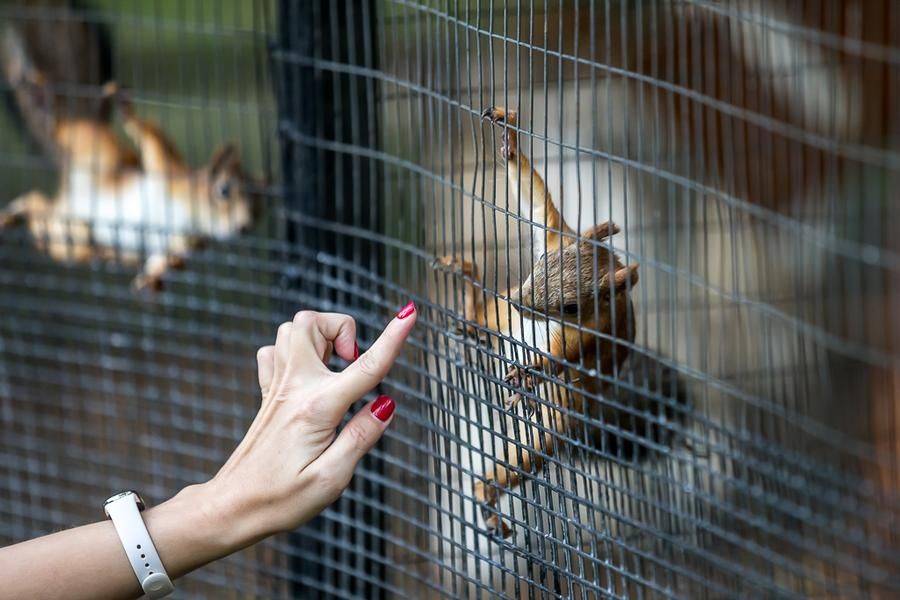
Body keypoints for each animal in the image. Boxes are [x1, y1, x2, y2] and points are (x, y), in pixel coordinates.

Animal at [0, 27, 260, 290]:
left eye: (260, 209)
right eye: (224, 190)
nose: (244, 226)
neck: (195, 218)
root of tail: (68, 196)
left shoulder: (182, 243)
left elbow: (166, 259)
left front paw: (152, 279)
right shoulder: (170, 174)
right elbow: (154, 142)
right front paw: (128, 112)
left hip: (70, 230)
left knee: (40, 211)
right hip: (96, 148)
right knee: (63, 126)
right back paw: (44, 96)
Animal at [438, 108, 644, 540]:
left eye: (571, 306)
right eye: (541, 261)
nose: (521, 303)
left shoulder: (591, 336)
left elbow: (561, 361)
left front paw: (530, 373)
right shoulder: (555, 235)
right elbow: (535, 201)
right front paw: (508, 138)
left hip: (550, 425)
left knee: (519, 459)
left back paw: (489, 498)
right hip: (498, 313)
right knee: (480, 315)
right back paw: (466, 290)